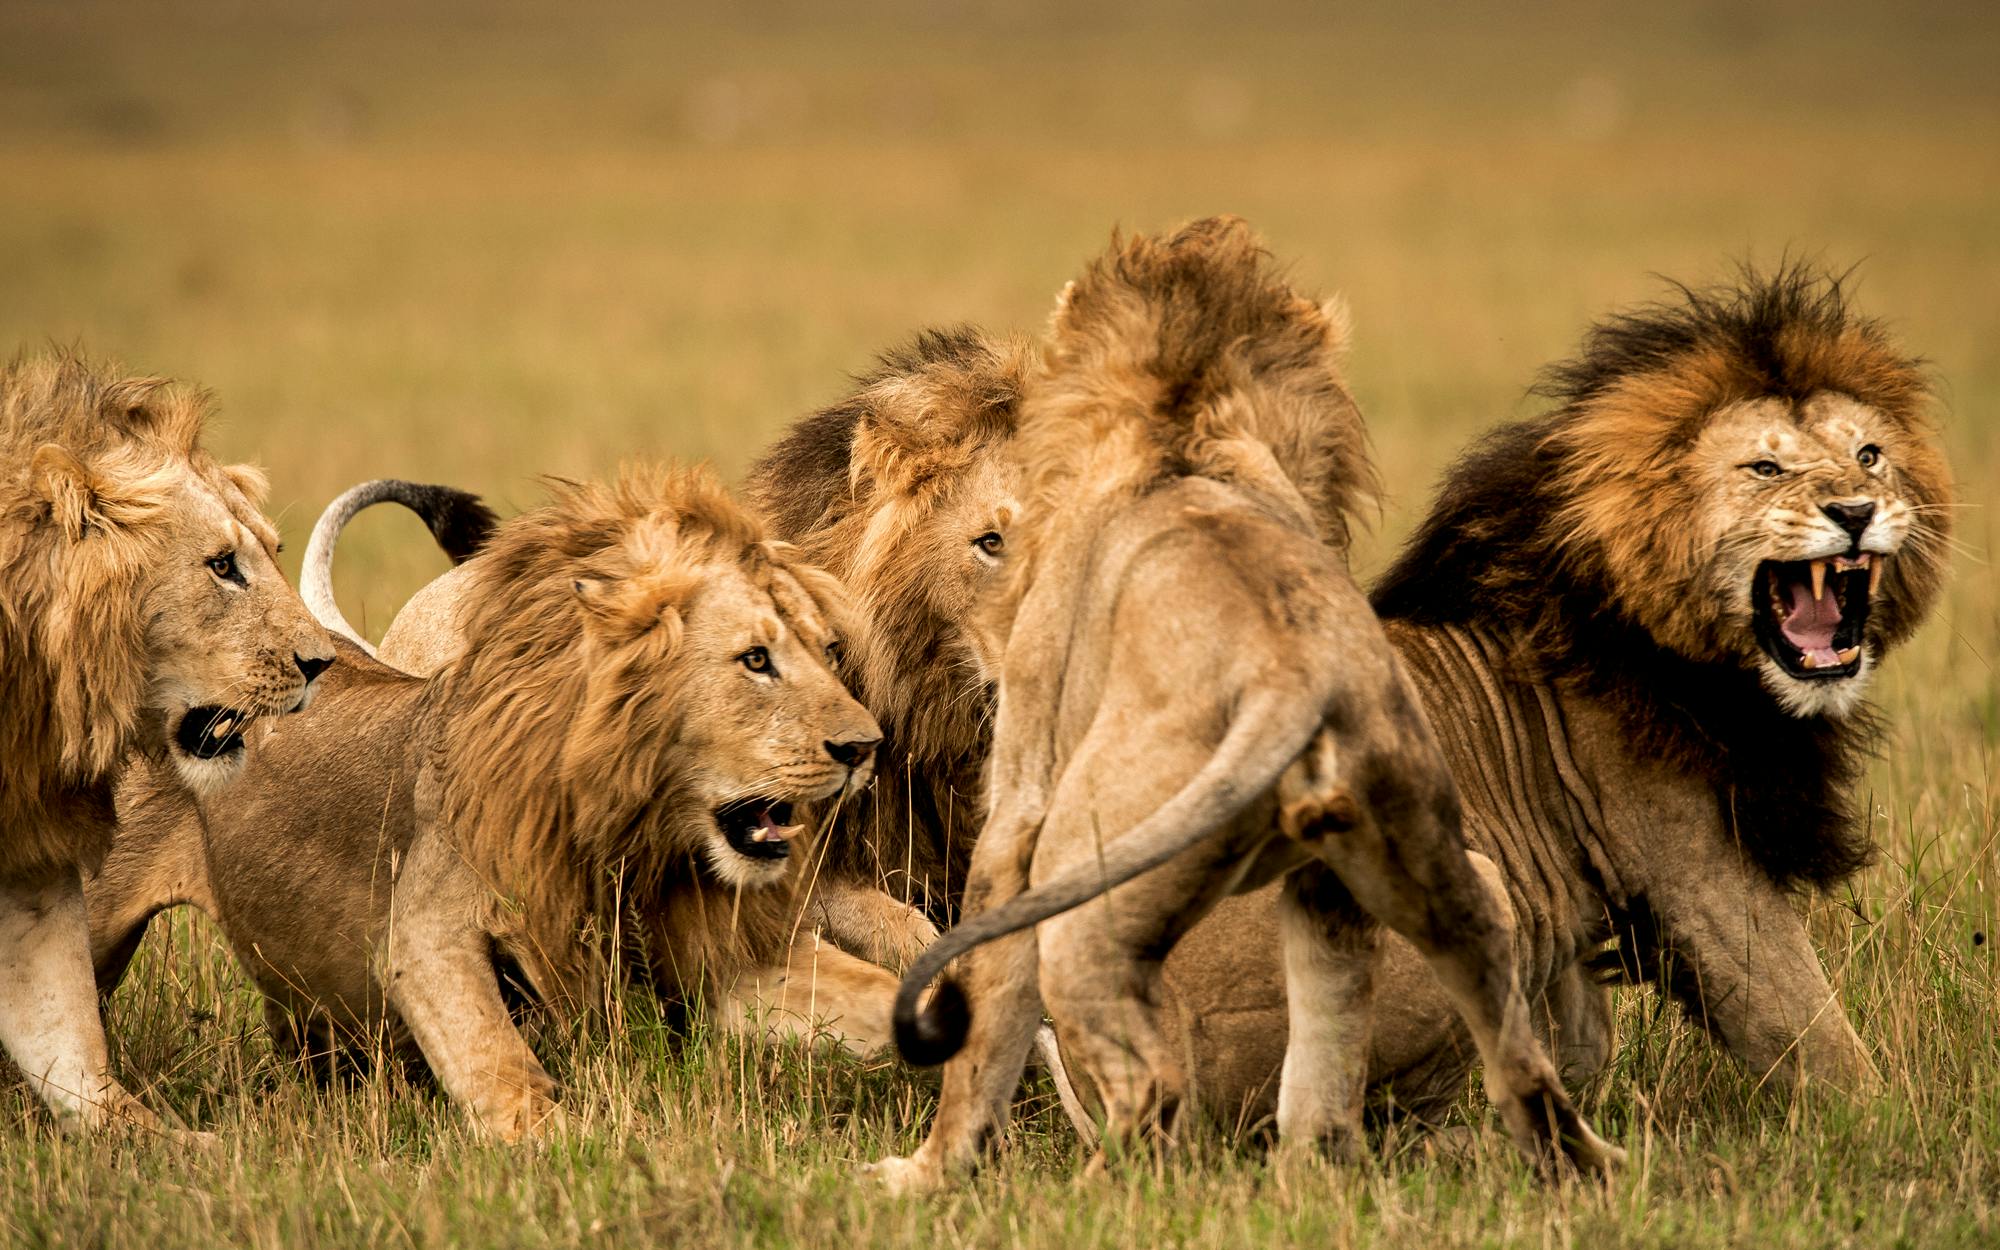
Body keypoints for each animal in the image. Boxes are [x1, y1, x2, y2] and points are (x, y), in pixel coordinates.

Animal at [82, 464, 888, 1136]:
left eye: (828, 651)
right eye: (755, 659)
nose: (865, 748)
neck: (636, 834)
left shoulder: (714, 951)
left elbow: (872, 991)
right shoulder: (428, 938)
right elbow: (507, 1075)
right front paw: (586, 1151)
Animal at [876, 217, 1624, 1192]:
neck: (1183, 432)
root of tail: (1287, 675)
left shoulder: (1017, 804)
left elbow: (985, 1011)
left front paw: (930, 1172)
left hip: (1083, 887)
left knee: (1150, 1088)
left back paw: (1087, 1195)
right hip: (1430, 870)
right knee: (1476, 1050)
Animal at [1144, 260, 1952, 1120]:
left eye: (1870, 455)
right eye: (1766, 469)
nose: (1856, 510)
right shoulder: (1695, 864)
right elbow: (1814, 1031)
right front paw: (1891, 1122)